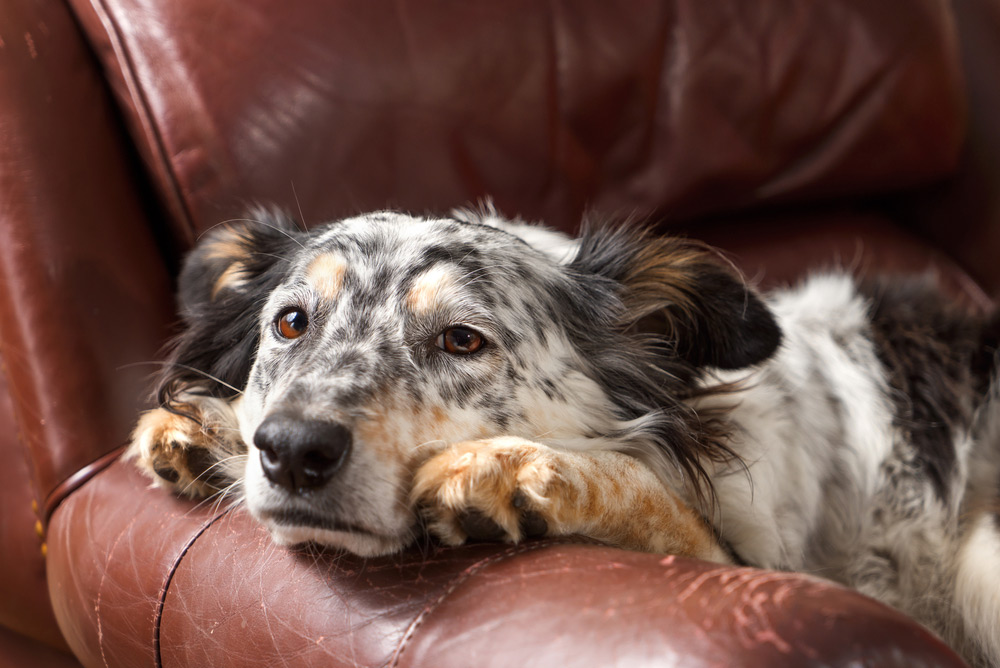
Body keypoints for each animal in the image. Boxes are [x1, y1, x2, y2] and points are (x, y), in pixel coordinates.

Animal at [131, 206, 1000, 664]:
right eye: (291, 322)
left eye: (462, 340)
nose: (292, 450)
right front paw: (205, 428)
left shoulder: (769, 566)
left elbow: (646, 490)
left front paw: (507, 470)